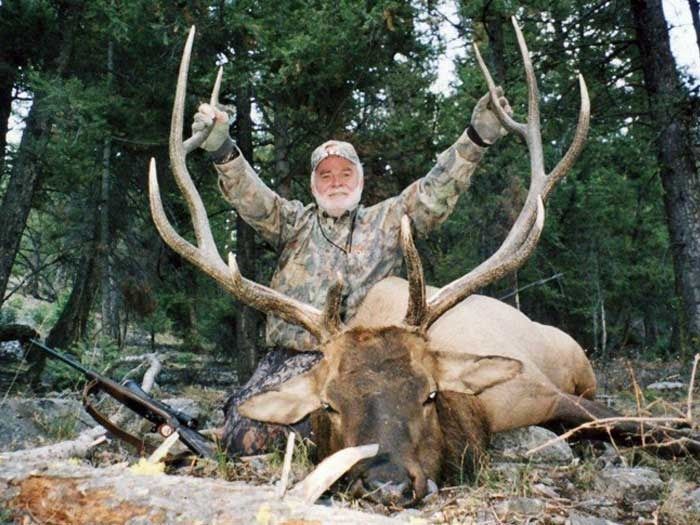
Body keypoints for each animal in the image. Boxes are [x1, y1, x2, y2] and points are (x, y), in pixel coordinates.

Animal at [149, 21, 700, 507]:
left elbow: (646, 427)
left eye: (430, 394)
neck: (479, 416)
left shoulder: (545, 392)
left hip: (579, 363)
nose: (386, 484)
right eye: (329, 404)